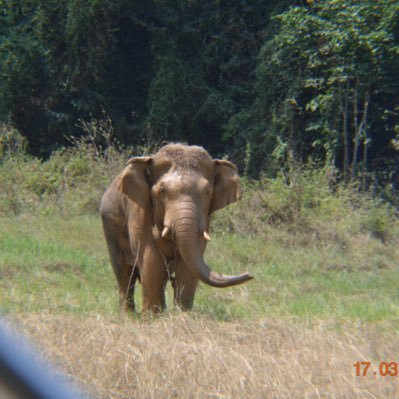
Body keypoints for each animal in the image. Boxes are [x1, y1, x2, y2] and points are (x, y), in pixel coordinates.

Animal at [101, 143, 255, 312]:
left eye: (207, 192)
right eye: (162, 190)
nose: (251, 274)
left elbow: (188, 264)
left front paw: (182, 314)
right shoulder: (141, 213)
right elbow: (151, 260)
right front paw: (152, 316)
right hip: (110, 229)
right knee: (124, 273)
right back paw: (128, 314)